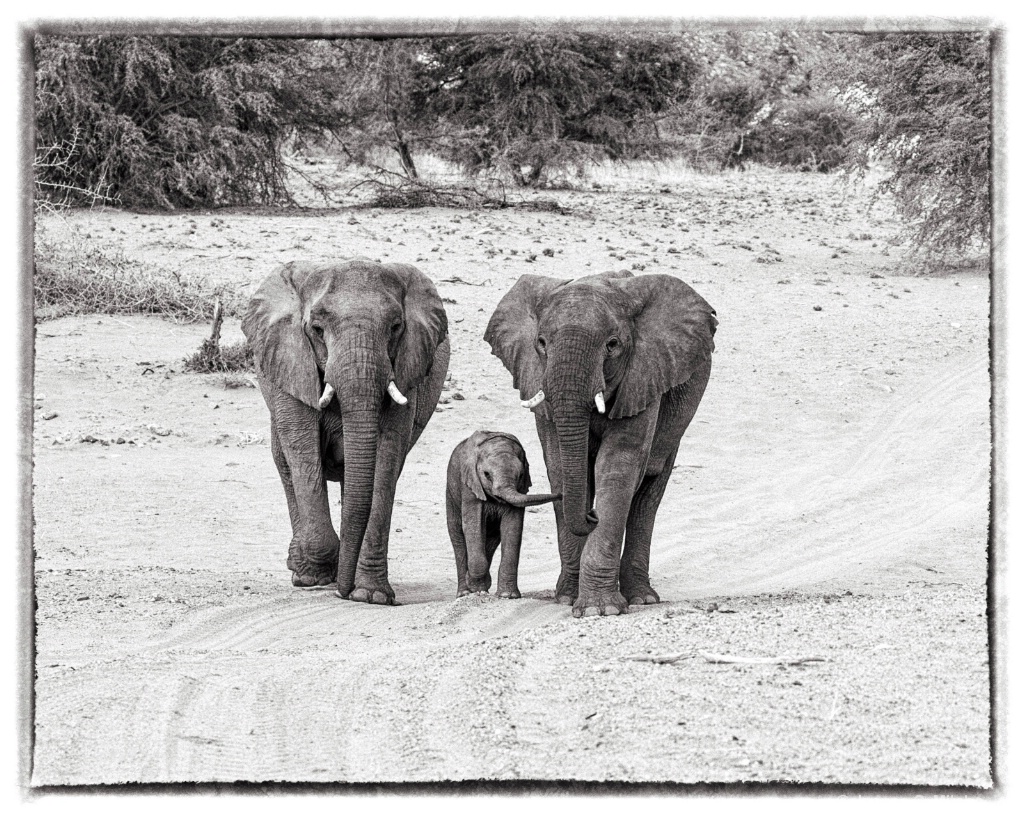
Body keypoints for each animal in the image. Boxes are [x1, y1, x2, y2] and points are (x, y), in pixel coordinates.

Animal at [241, 259, 450, 606]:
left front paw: (369, 595)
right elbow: (302, 451)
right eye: (316, 329)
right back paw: (302, 567)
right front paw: (316, 576)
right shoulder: (290, 360)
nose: (343, 592)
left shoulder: (407, 369)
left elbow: (386, 460)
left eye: (396, 327)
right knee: (285, 464)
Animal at [448, 432, 561, 597]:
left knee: (492, 538)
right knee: (457, 536)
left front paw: (508, 596)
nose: (561, 494)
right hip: (451, 495)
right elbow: (473, 525)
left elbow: (512, 527)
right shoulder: (469, 486)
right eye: (486, 475)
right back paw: (465, 593)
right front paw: (477, 588)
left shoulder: (521, 489)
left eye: (521, 475)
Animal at [485, 272, 712, 618]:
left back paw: (642, 598)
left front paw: (597, 610)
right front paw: (568, 599)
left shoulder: (644, 377)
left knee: (648, 492)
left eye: (612, 344)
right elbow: (558, 464)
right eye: (541, 343)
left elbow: (618, 466)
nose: (592, 516)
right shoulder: (536, 379)